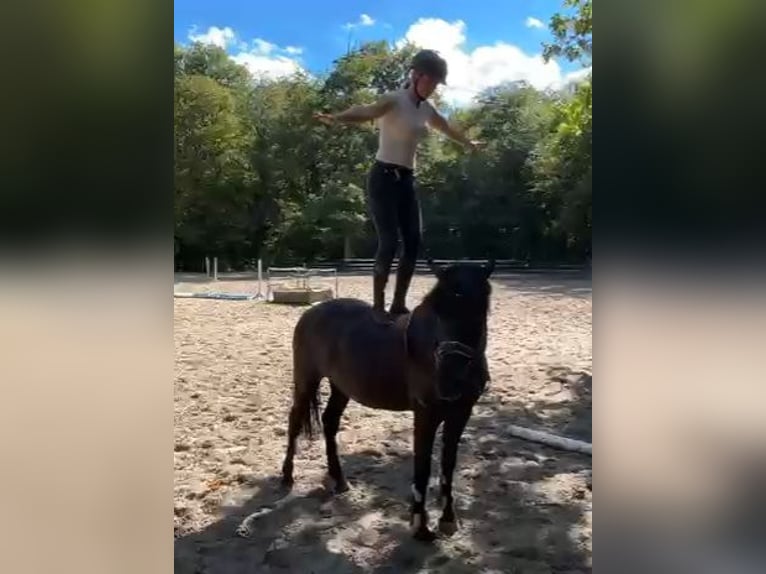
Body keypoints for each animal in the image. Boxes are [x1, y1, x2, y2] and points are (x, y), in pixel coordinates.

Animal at [280, 258, 494, 542]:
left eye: (478, 311)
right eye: (438, 313)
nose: (448, 380)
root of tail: (311, 313)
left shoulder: (461, 413)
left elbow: (448, 465)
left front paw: (448, 520)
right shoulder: (425, 414)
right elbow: (423, 466)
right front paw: (420, 526)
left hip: (341, 387)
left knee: (329, 421)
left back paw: (339, 478)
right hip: (307, 380)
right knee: (295, 421)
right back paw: (287, 476)